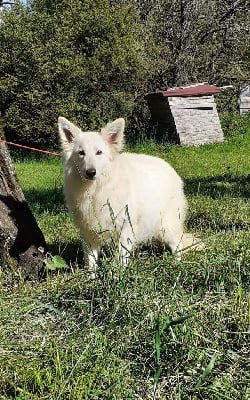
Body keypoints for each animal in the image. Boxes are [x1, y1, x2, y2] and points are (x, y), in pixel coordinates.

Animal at [58, 117, 193, 270]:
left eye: (99, 152)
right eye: (81, 153)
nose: (91, 172)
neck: (97, 189)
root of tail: (169, 167)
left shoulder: (124, 231)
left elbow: (121, 260)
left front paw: (119, 274)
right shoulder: (89, 234)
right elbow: (91, 262)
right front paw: (91, 276)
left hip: (165, 225)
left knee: (177, 245)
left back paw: (176, 264)